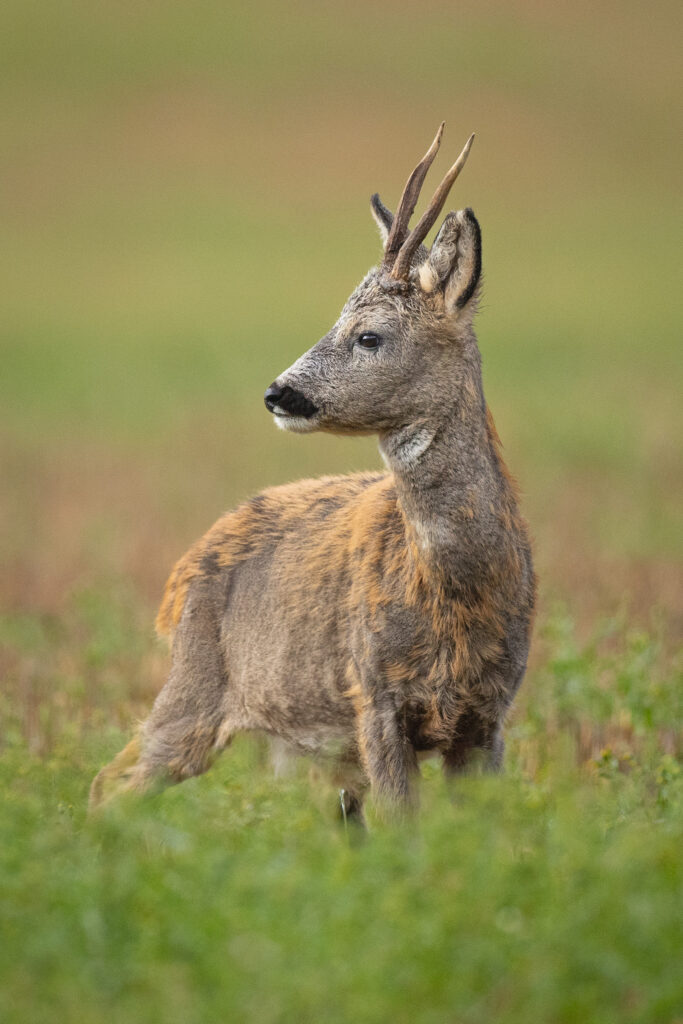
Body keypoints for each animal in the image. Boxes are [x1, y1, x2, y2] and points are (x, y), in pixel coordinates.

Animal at [89, 123, 536, 822]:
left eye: (369, 336)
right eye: (336, 320)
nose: (278, 393)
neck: (456, 591)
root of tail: (181, 573)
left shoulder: (490, 715)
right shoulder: (374, 693)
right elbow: (404, 826)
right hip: (197, 684)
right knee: (109, 783)